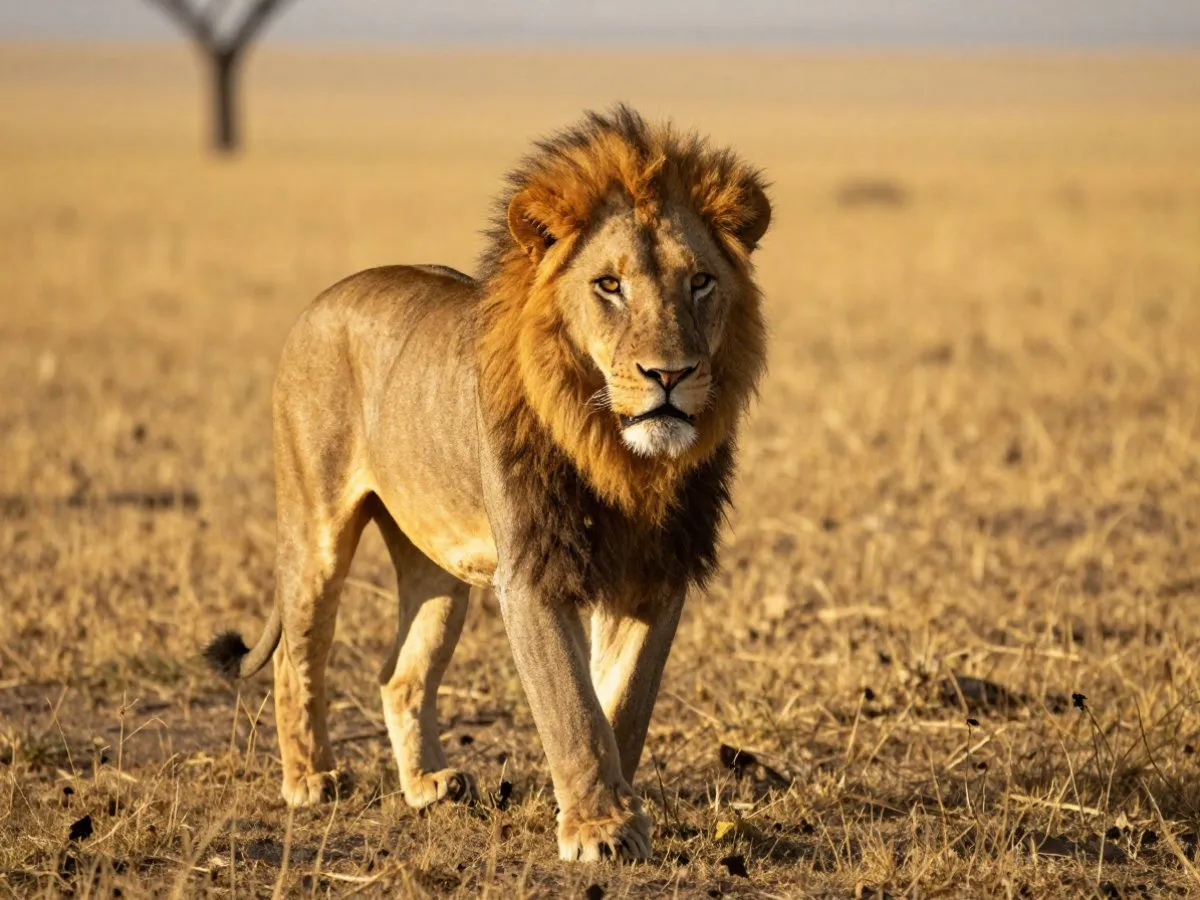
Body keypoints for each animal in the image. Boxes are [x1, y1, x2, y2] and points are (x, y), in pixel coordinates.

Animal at [204, 105, 770, 862]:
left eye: (700, 281)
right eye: (610, 285)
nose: (669, 375)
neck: (620, 456)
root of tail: (322, 300)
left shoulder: (657, 572)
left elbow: (622, 703)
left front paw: (611, 807)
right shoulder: (532, 573)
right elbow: (571, 706)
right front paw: (599, 827)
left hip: (437, 568)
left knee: (400, 675)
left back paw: (429, 785)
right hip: (314, 528)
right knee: (298, 657)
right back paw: (311, 779)